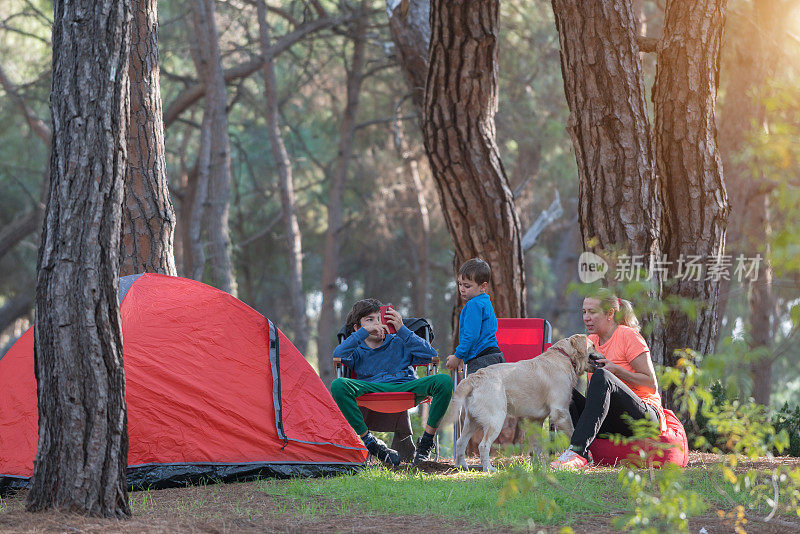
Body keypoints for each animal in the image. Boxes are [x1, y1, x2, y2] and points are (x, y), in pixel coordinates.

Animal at [450, 336, 600, 474]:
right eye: (593, 346)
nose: (603, 359)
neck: (565, 356)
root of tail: (475, 377)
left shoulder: (536, 420)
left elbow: (536, 447)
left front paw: (537, 468)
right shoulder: (560, 412)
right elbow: (573, 432)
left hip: (472, 420)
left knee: (460, 442)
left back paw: (461, 466)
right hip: (496, 419)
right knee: (483, 445)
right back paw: (489, 468)